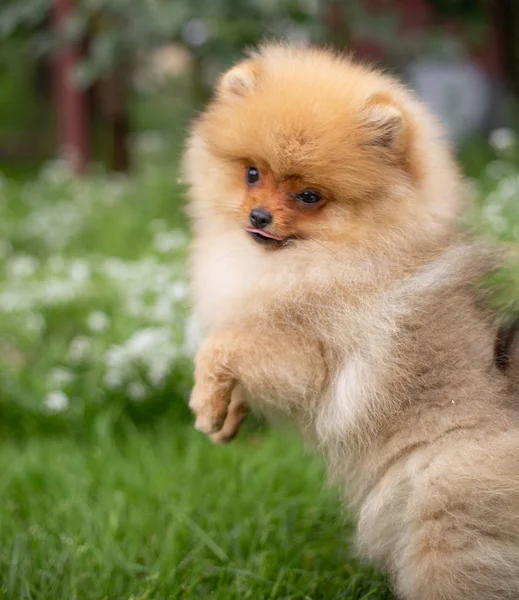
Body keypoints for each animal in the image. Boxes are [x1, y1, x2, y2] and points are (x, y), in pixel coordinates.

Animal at [182, 44, 519, 600]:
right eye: (252, 173)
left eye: (309, 196)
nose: (258, 216)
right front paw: (228, 417)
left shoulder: (309, 351)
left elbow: (221, 348)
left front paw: (205, 405)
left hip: (445, 525)